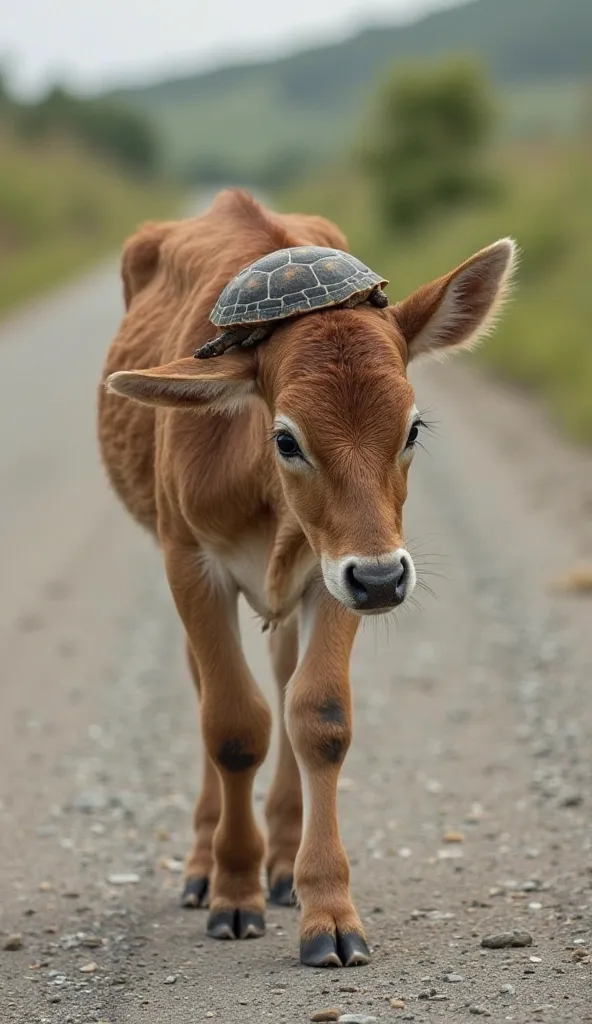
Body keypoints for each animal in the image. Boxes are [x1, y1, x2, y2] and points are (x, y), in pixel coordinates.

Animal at [99, 190, 514, 966]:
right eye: (286, 438)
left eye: (414, 428)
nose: (383, 583)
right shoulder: (189, 560)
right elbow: (232, 725)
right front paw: (233, 893)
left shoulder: (338, 567)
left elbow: (318, 717)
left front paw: (327, 908)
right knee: (207, 687)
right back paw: (206, 865)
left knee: (286, 675)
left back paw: (284, 861)